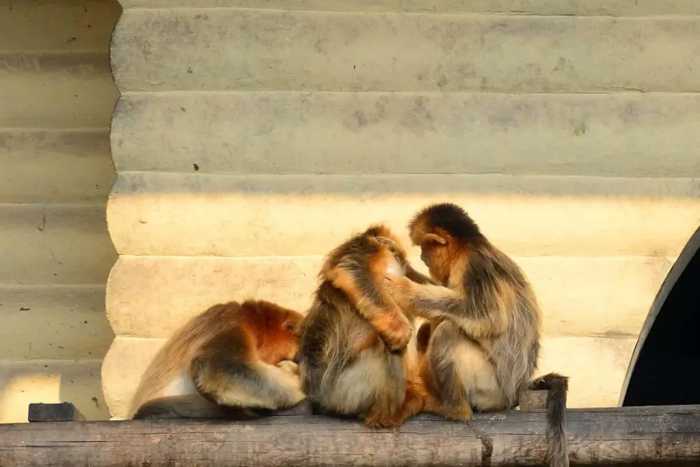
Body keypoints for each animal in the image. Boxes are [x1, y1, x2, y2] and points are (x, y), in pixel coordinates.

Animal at [300, 225, 434, 430]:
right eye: (394, 253)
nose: (397, 256)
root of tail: (317, 398)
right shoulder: (364, 248)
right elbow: (351, 268)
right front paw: (400, 331)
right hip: (345, 392)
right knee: (385, 344)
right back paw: (384, 417)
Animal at [372, 203, 540, 422]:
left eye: (425, 250)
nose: (422, 257)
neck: (467, 247)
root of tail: (515, 394)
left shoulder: (473, 265)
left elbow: (488, 316)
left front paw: (403, 290)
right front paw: (398, 257)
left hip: (490, 390)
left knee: (448, 331)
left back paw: (455, 409)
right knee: (429, 328)